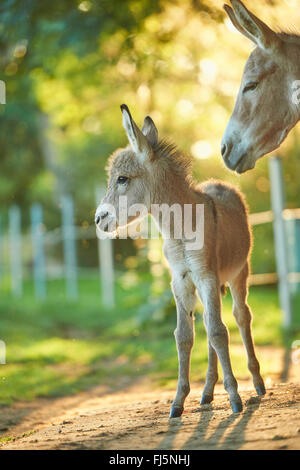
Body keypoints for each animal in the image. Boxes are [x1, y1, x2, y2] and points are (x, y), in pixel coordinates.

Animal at [95, 104, 264, 416]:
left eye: (122, 179)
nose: (98, 219)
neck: (180, 230)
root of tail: (220, 183)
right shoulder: (181, 281)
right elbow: (185, 335)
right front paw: (178, 401)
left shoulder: (206, 276)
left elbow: (219, 333)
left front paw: (235, 398)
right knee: (210, 323)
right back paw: (208, 392)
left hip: (238, 274)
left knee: (239, 317)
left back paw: (257, 383)